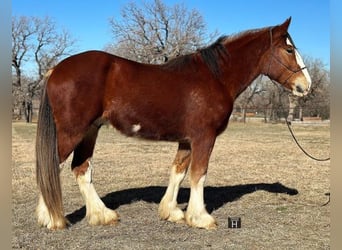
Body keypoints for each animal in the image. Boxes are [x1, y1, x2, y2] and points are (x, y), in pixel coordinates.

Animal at [36, 17, 312, 229]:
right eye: (289, 50)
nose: (306, 86)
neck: (215, 77)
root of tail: (57, 69)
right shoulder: (204, 137)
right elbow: (199, 173)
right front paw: (200, 218)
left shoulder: (187, 140)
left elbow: (178, 172)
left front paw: (172, 212)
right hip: (71, 132)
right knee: (51, 166)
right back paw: (51, 218)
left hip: (90, 131)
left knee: (81, 169)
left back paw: (102, 215)